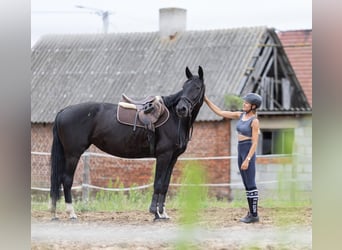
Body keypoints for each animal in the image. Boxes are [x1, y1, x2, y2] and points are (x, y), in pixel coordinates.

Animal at [50, 65, 204, 220]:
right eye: (184, 87)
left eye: (197, 87)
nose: (181, 109)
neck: (174, 118)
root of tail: (63, 111)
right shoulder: (163, 156)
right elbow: (158, 183)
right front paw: (155, 213)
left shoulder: (172, 158)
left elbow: (165, 185)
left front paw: (163, 213)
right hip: (73, 154)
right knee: (66, 180)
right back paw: (72, 213)